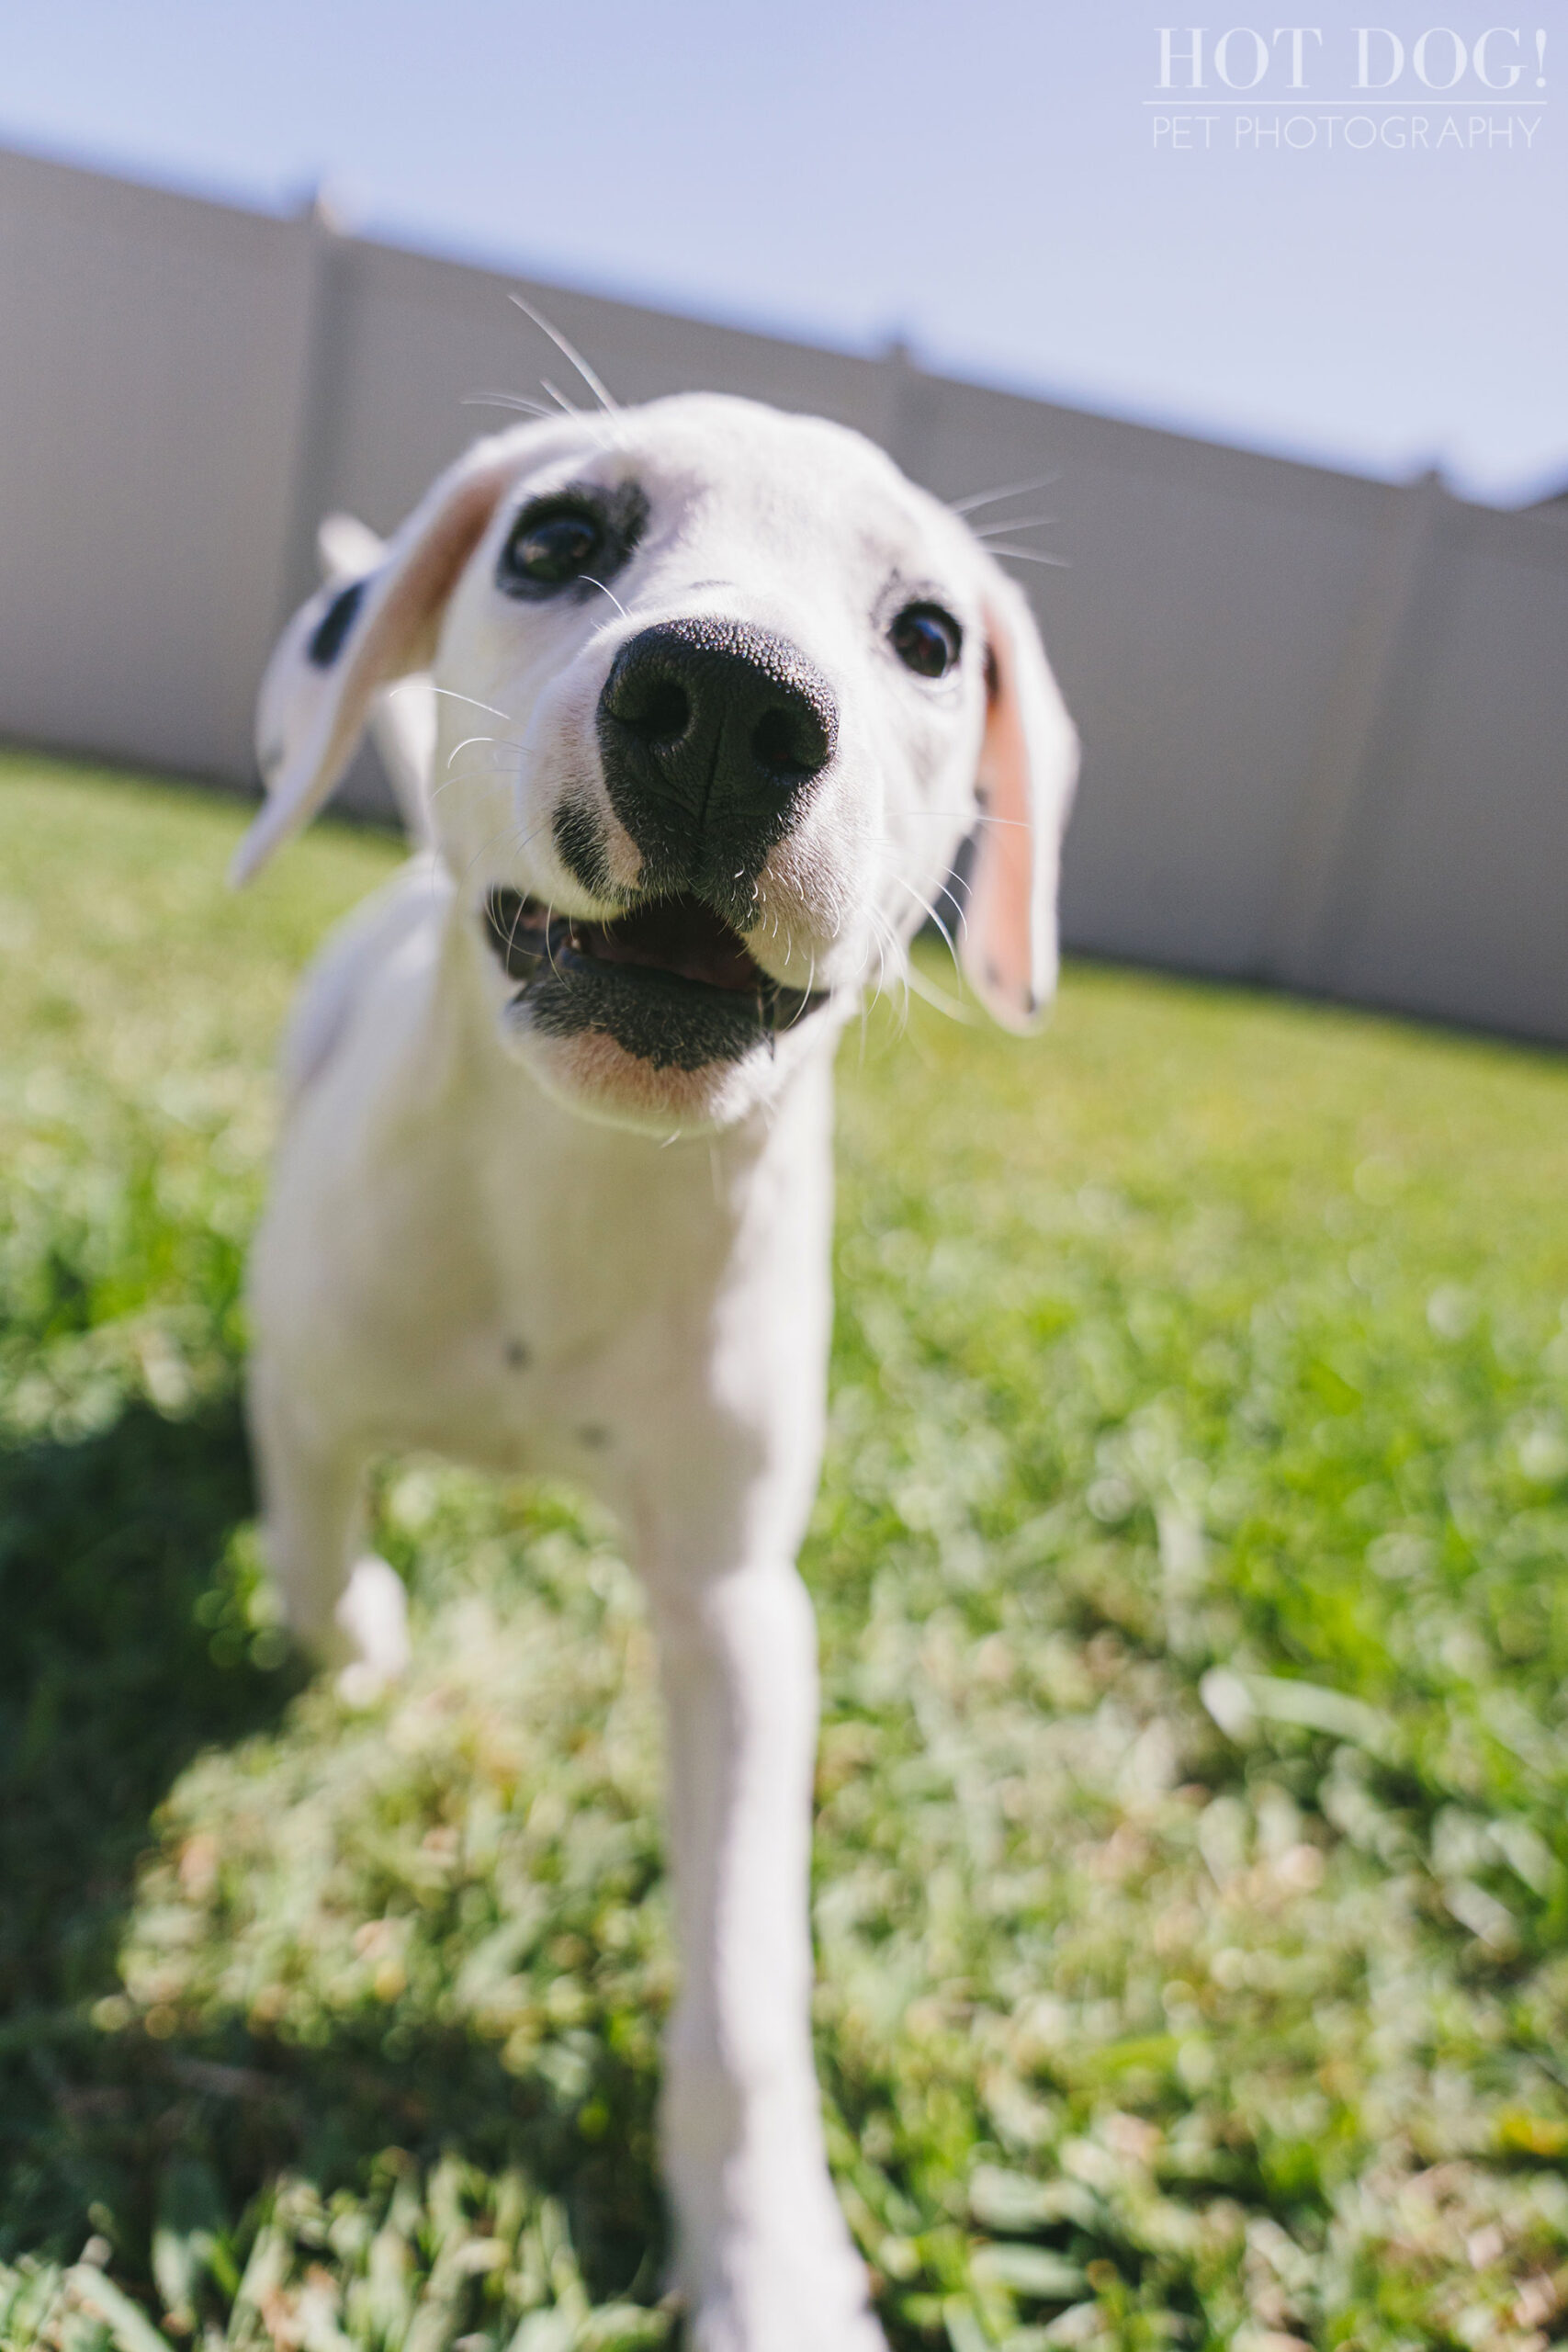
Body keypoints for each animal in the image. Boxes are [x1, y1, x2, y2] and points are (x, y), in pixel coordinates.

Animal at [232, 400, 1081, 2352]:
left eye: (930, 637)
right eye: (554, 539)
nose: (726, 704)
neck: (573, 1183)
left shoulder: (737, 1612)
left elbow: (746, 1994)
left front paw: (768, 2262)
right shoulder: (300, 1385)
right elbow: (311, 1550)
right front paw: (363, 1634)